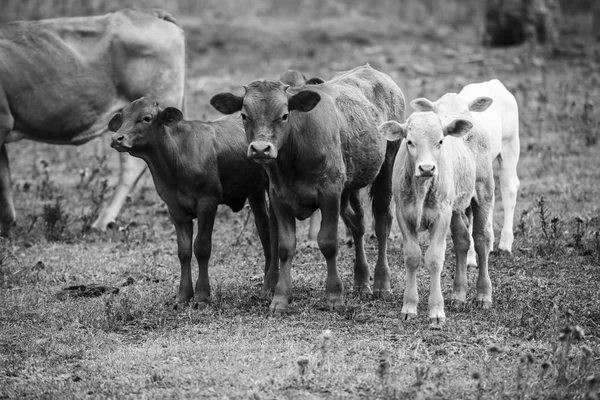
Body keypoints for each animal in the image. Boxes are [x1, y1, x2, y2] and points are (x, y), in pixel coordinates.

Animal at [210, 65, 404, 312]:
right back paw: (361, 282)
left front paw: (334, 296)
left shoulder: (329, 193)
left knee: (381, 223)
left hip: (386, 165)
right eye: (244, 115)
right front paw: (280, 299)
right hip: (349, 184)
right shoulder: (278, 197)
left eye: (284, 115)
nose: (261, 149)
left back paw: (381, 283)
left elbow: (328, 242)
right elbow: (284, 246)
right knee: (357, 223)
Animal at [378, 105, 494, 324]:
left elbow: (434, 258)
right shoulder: (403, 214)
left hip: (483, 193)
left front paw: (436, 311)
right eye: (409, 141)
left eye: (440, 141)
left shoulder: (441, 216)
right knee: (462, 240)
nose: (426, 168)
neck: (422, 189)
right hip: (455, 208)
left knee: (481, 241)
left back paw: (483, 295)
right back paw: (458, 295)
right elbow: (412, 256)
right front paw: (409, 307)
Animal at [412, 79, 520, 264]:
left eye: (464, 113)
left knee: (509, 189)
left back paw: (505, 244)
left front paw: (470, 259)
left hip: (510, 144)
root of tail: (494, 82)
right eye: (439, 116)